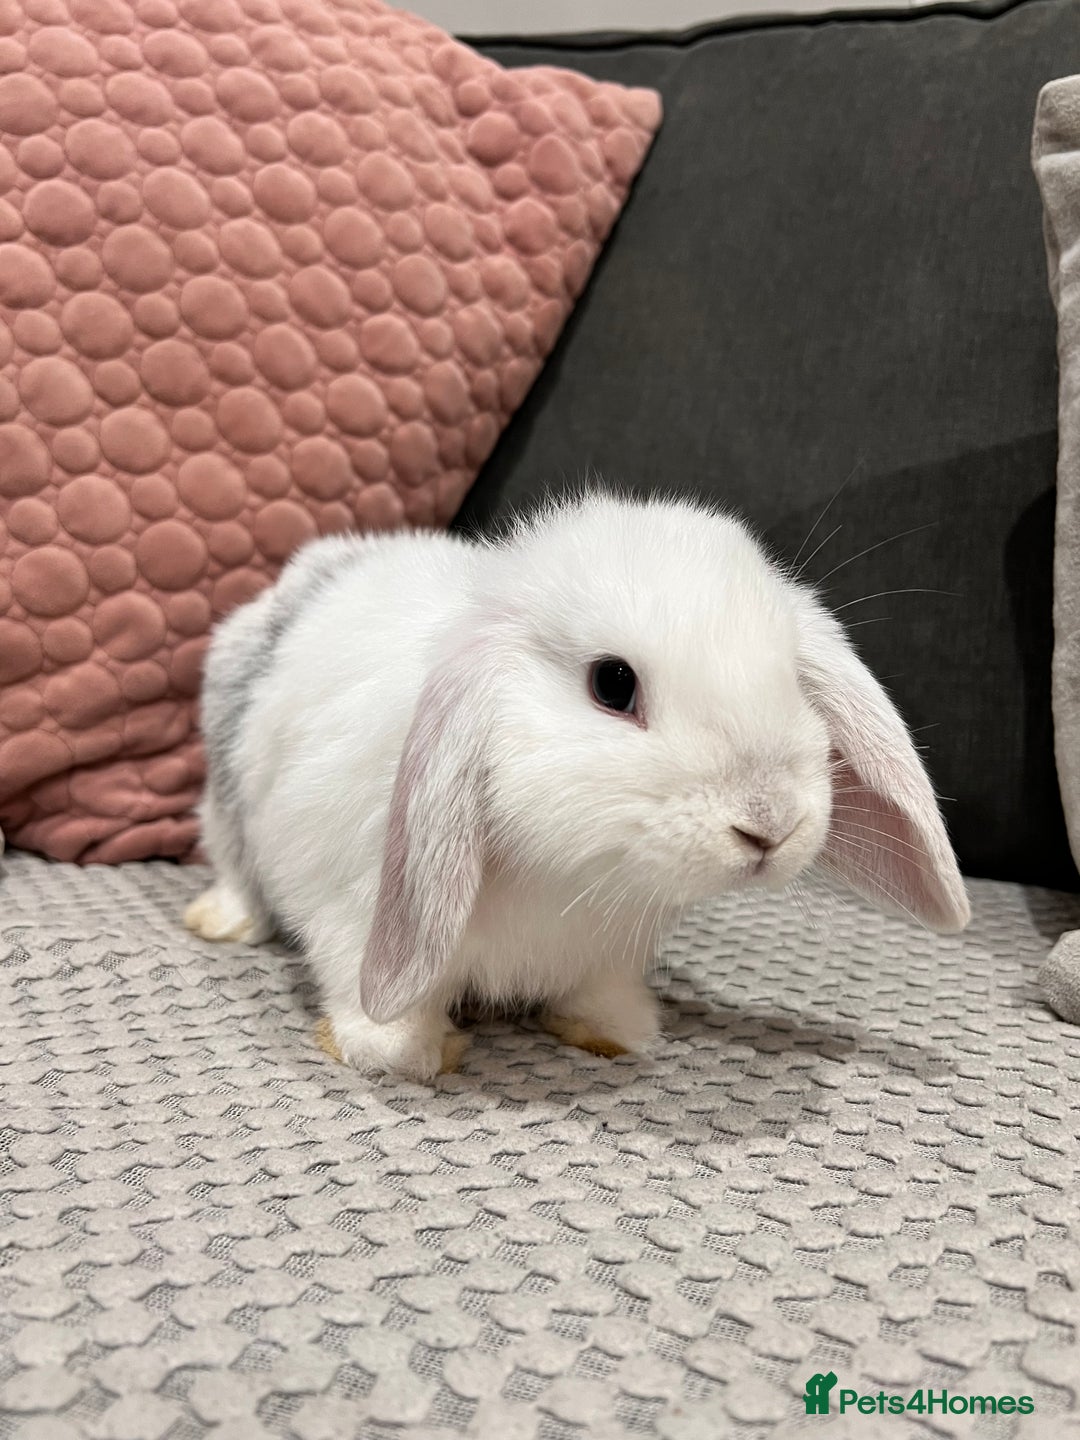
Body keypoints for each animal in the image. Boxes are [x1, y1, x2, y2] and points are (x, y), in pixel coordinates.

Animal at [185, 492, 970, 1080]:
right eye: (613, 684)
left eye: (791, 681)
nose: (770, 823)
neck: (573, 876)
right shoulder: (355, 906)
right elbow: (364, 985)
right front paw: (402, 1051)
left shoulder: (611, 947)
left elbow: (600, 991)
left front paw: (615, 1029)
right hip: (229, 790)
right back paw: (222, 922)